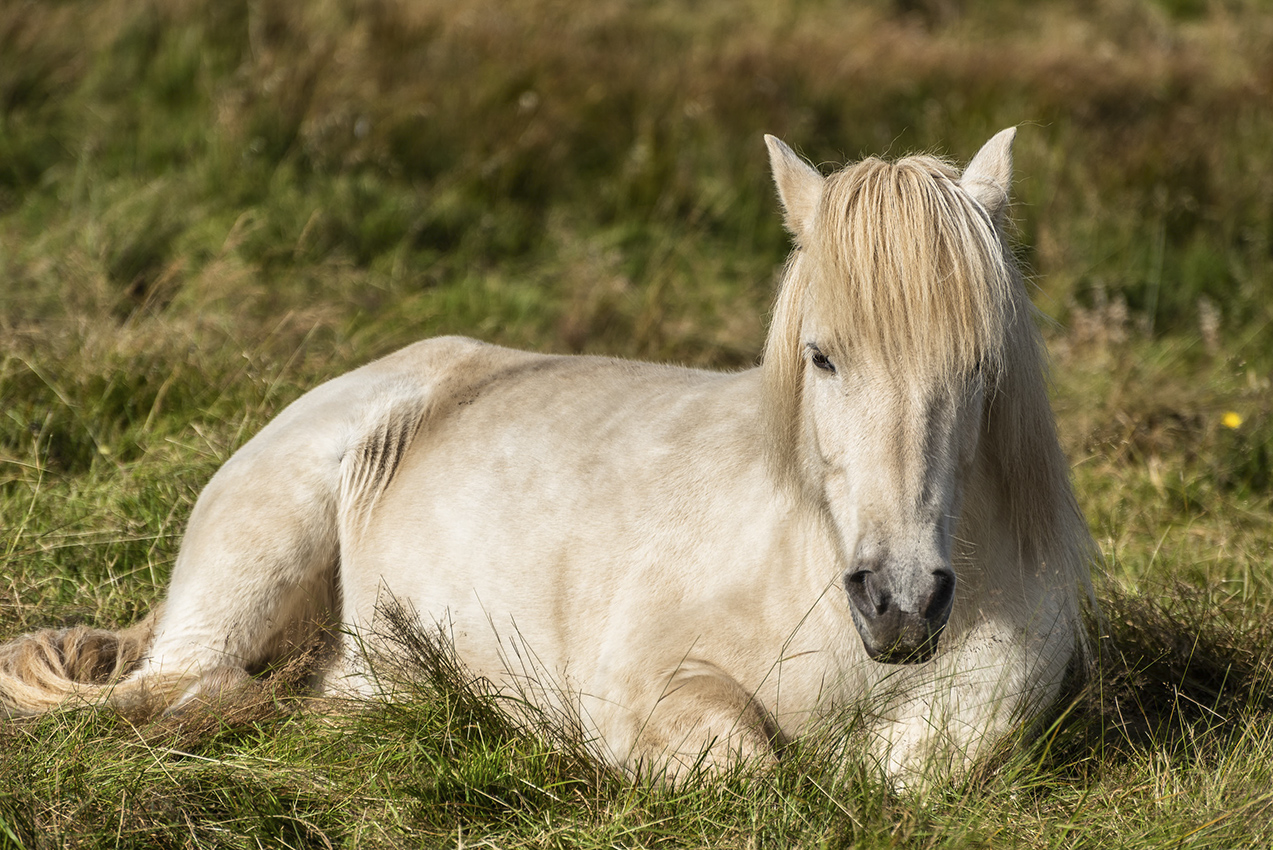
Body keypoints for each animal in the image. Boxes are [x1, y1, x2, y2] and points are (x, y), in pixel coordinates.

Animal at [0, 129, 1094, 788]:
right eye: (822, 355)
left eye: (979, 367)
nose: (899, 603)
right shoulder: (650, 693)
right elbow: (748, 764)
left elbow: (905, 770)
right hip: (251, 570)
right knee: (188, 687)